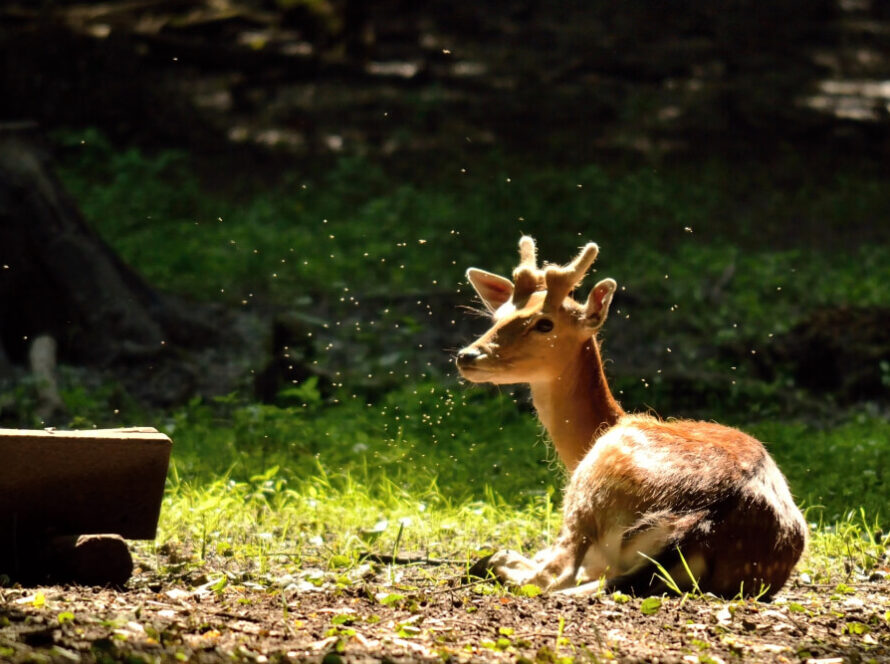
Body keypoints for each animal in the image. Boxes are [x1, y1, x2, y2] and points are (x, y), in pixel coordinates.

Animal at [454, 237, 808, 596]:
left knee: (551, 575)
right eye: (497, 316)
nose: (467, 355)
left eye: (544, 323)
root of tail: (700, 523)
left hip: (592, 483)